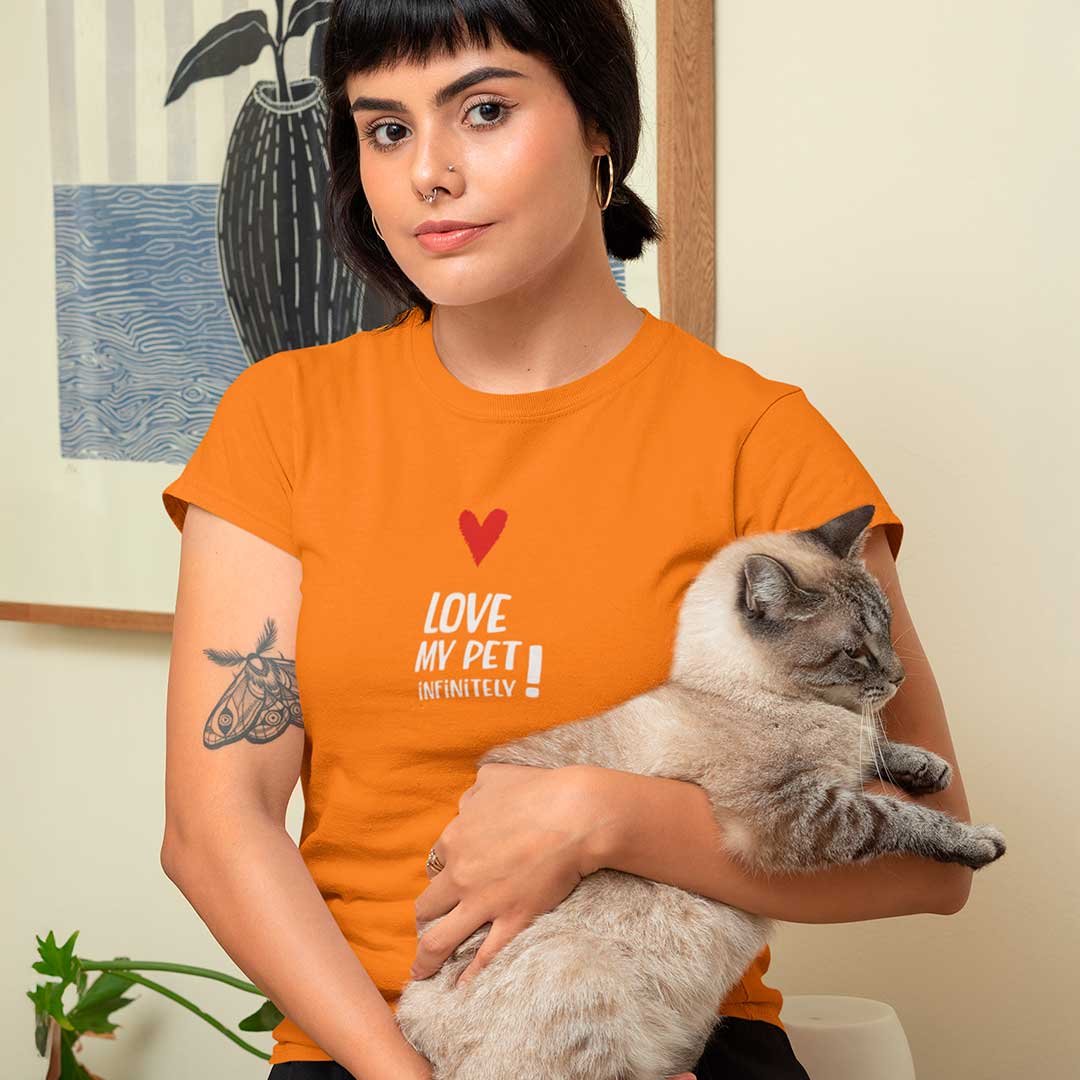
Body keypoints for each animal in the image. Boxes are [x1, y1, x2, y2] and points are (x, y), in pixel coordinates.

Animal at [395, 504, 1006, 1080]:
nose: (900, 676)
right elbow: (902, 818)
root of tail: (412, 1021)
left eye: (886, 626)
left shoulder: (843, 767)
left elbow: (880, 752)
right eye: (854, 651)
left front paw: (930, 767)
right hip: (579, 970)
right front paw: (979, 842)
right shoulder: (796, 815)